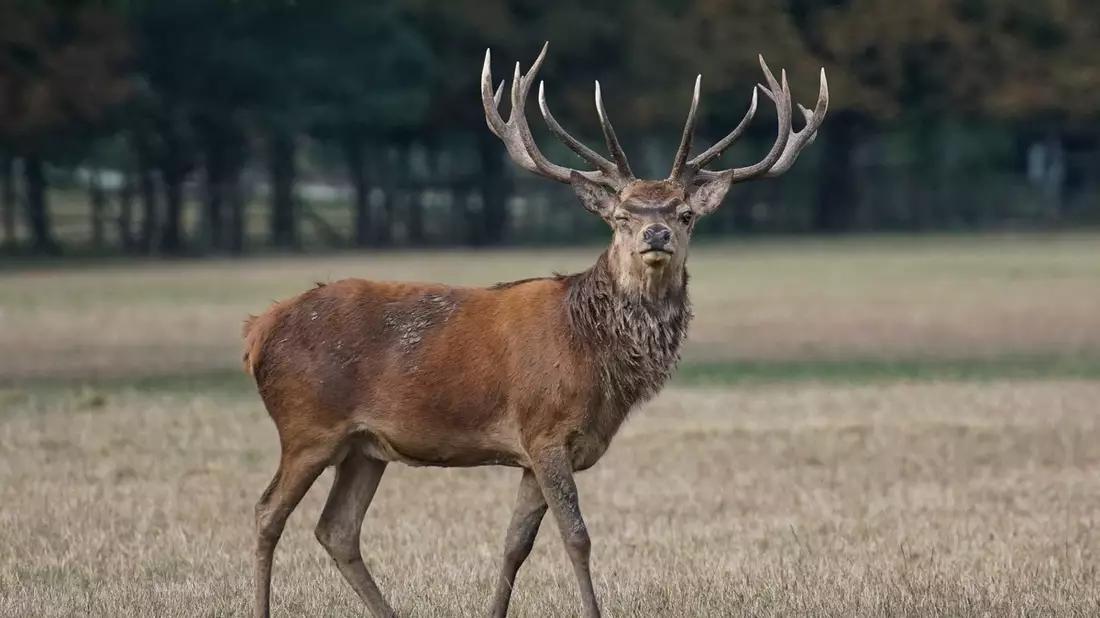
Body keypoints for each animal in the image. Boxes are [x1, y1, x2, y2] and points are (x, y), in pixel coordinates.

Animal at [242, 42, 827, 618]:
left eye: (685, 214)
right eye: (620, 215)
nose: (656, 233)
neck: (595, 358)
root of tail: (258, 329)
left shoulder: (535, 452)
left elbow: (515, 544)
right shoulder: (545, 429)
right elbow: (577, 537)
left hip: (363, 446)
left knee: (337, 529)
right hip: (308, 426)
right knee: (267, 512)